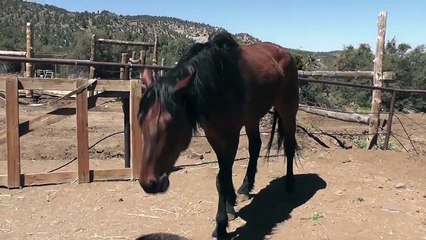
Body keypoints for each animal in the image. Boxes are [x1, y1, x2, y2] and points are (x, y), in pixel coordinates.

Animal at [138, 31, 298, 239]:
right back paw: (245, 188)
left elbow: (222, 178)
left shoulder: (231, 136)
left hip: (287, 108)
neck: (217, 83)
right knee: (255, 146)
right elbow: (223, 176)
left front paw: (221, 226)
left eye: (170, 124)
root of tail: (285, 53)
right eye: (140, 121)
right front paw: (230, 206)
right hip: (252, 117)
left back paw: (289, 185)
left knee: (289, 145)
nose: (149, 184)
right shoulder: (214, 135)